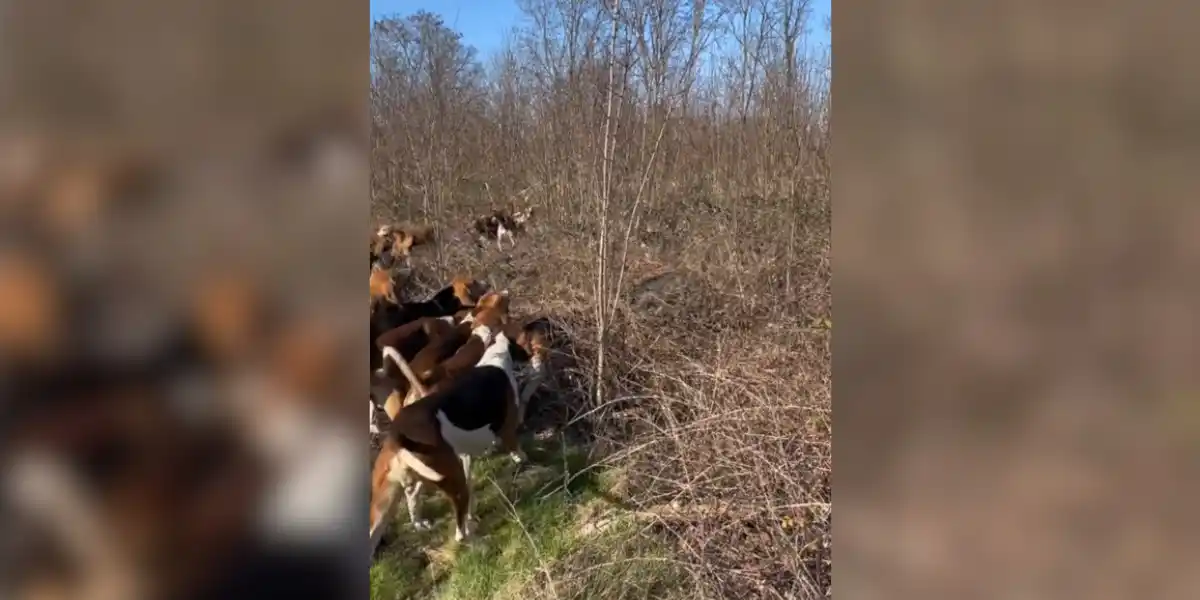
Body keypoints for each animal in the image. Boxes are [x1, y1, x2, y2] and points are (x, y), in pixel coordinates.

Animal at [367, 321, 523, 549]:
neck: (496, 354)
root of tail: (399, 438)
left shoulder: (465, 456)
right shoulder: (507, 427)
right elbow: (516, 448)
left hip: (387, 502)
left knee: (411, 499)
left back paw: (421, 523)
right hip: (452, 480)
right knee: (458, 527)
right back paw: (469, 537)